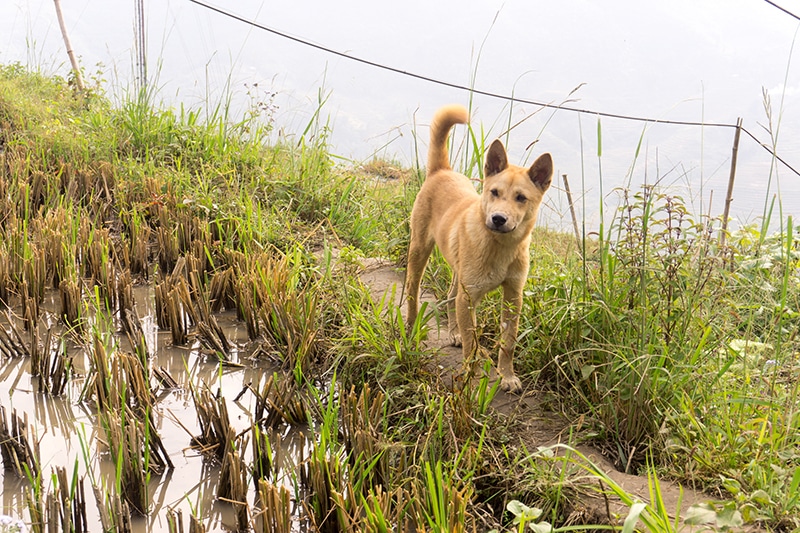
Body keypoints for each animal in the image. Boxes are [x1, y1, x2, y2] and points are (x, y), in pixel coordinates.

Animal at [406, 104, 552, 392]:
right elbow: (472, 342)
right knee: (413, 290)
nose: (498, 219)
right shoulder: (469, 296)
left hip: (458, 271)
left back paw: (452, 332)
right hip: (419, 251)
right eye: (494, 192)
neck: (500, 247)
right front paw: (470, 381)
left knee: (450, 295)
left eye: (521, 198)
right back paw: (410, 327)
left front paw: (507, 376)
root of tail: (442, 171)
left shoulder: (513, 296)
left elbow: (508, 342)